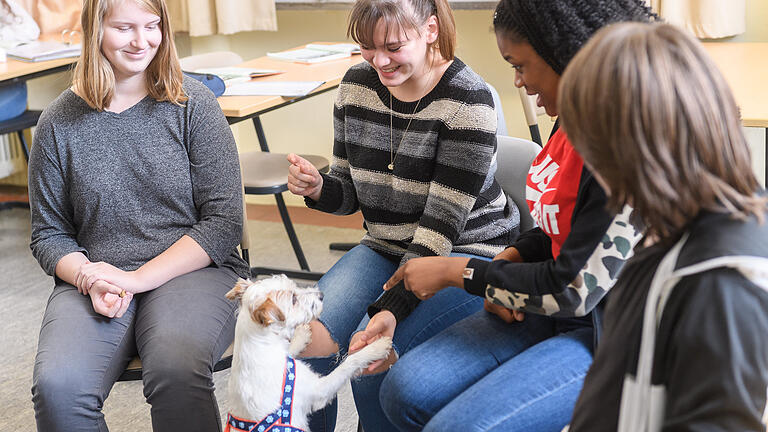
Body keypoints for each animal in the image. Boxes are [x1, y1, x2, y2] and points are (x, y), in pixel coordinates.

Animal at [222, 276, 390, 430]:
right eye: (293, 299)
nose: (321, 295)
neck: (261, 345)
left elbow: (290, 348)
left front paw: (301, 335)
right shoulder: (318, 391)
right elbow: (349, 362)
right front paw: (376, 348)